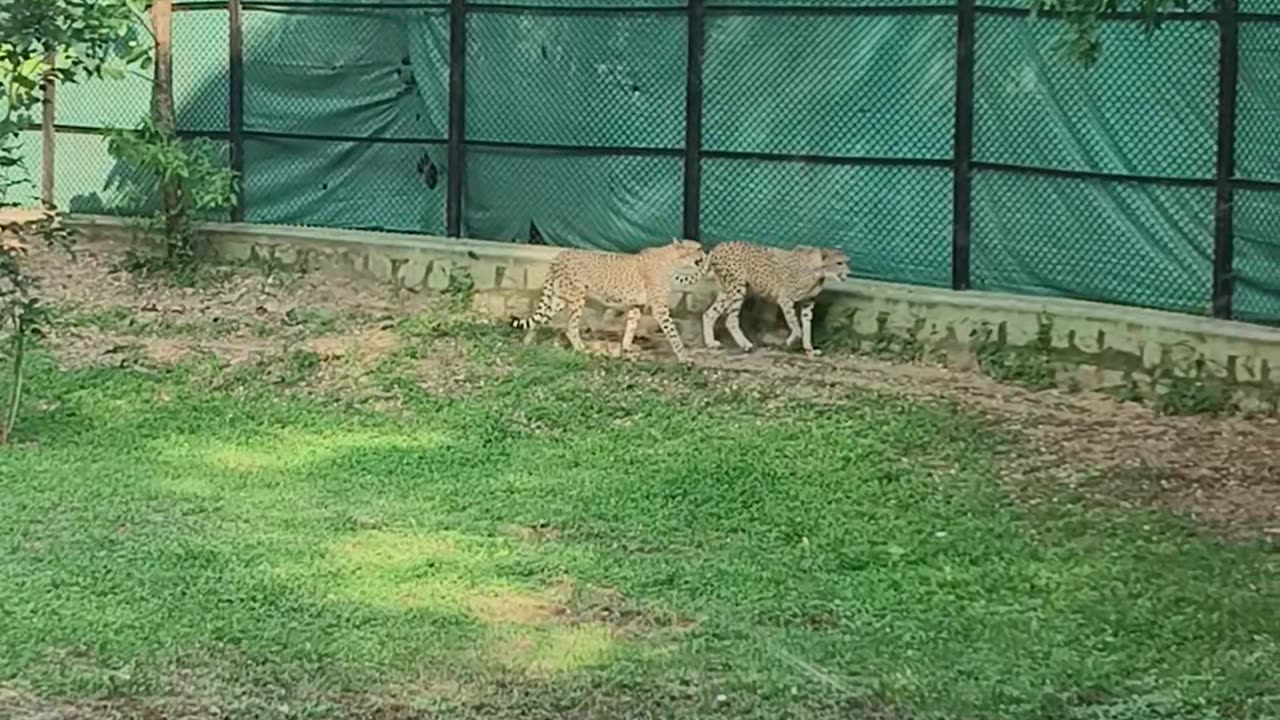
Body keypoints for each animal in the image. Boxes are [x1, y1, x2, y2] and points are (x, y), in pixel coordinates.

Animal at [512, 238, 711, 361]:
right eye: (698, 248)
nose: (705, 255)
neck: (672, 259)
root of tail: (560, 254)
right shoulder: (660, 308)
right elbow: (673, 333)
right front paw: (684, 357)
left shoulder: (637, 305)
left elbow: (631, 326)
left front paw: (627, 347)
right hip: (577, 298)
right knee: (570, 327)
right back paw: (581, 349)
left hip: (561, 298)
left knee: (541, 318)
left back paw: (527, 343)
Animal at [701, 239, 849, 353]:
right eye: (839, 263)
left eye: (846, 262)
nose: (848, 273)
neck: (818, 271)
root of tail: (719, 246)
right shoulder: (785, 299)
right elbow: (795, 324)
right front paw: (791, 341)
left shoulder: (808, 301)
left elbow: (807, 325)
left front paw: (809, 348)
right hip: (737, 288)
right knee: (730, 319)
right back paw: (745, 344)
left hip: (727, 291)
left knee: (709, 314)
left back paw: (711, 343)